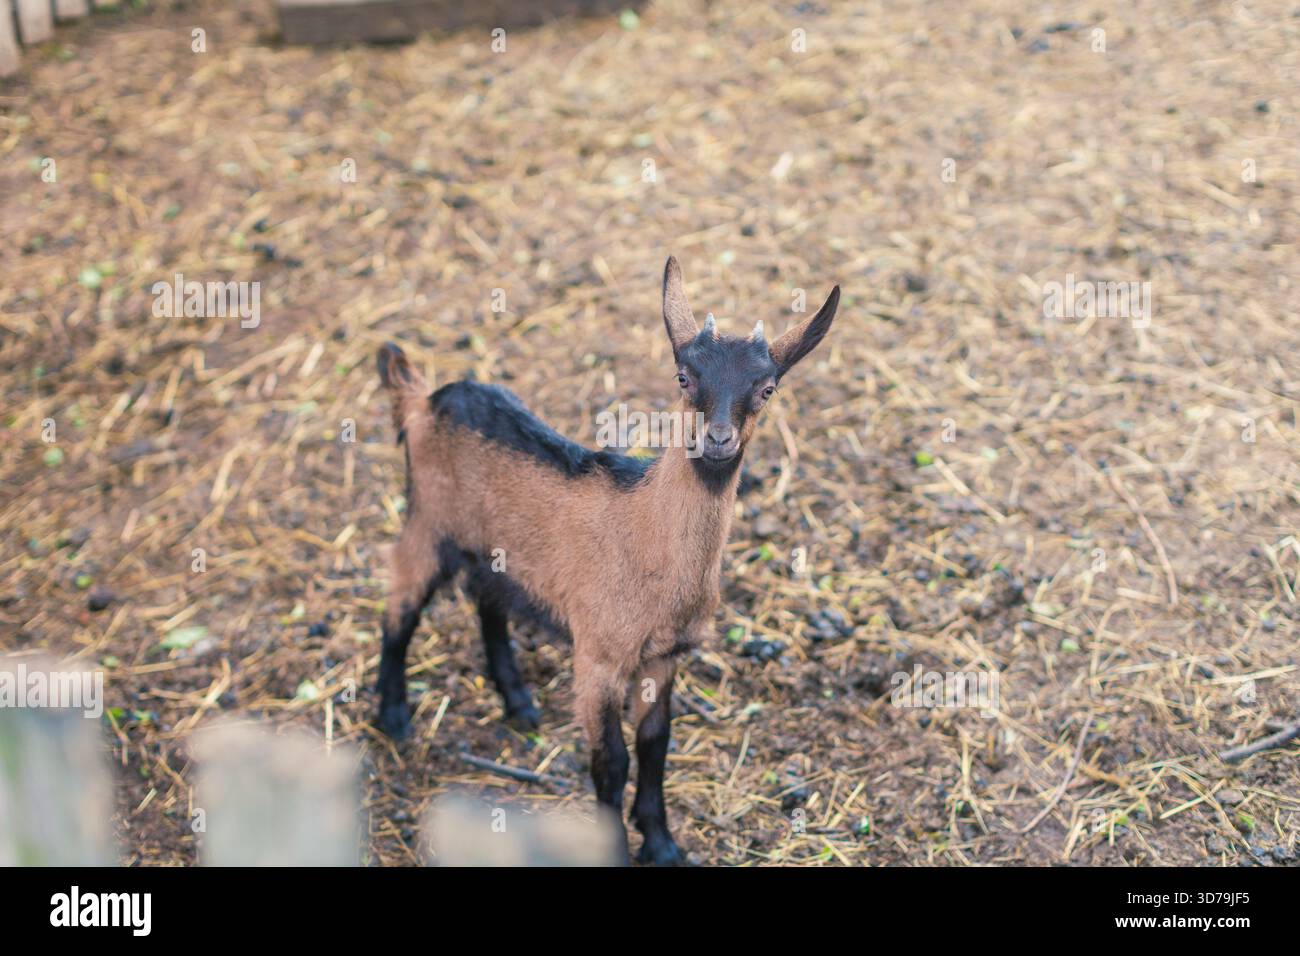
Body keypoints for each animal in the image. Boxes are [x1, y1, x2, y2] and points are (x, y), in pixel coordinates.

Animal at [375, 256, 840, 864]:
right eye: (684, 378)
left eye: (766, 388)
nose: (717, 439)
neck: (646, 535)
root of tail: (425, 400)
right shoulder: (598, 658)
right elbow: (611, 763)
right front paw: (618, 848)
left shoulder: (664, 657)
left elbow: (655, 745)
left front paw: (662, 843)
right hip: (428, 522)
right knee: (399, 605)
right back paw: (393, 717)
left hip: (492, 550)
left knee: (487, 600)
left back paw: (518, 702)